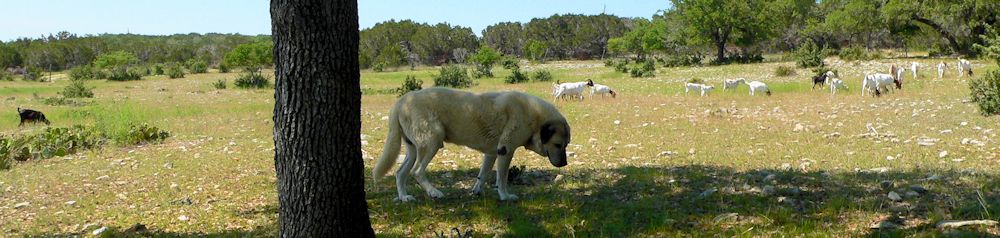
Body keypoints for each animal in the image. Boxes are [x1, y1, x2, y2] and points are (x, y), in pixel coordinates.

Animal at [372, 86, 572, 202]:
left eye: (566, 145)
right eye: (558, 145)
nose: (564, 163)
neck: (535, 117)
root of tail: (401, 101)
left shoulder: (492, 153)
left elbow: (482, 175)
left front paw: (477, 192)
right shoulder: (505, 151)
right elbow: (502, 178)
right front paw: (505, 196)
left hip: (413, 150)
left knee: (400, 173)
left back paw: (404, 197)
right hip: (432, 141)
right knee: (417, 171)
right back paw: (434, 192)